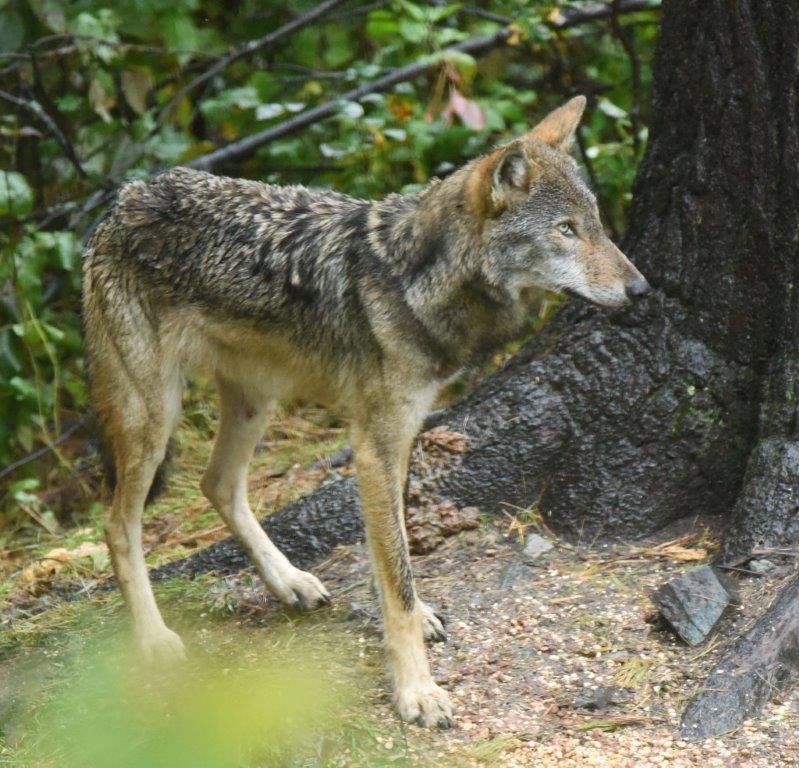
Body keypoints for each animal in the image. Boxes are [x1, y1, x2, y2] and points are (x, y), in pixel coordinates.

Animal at [82, 96, 648, 728]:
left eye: (595, 225)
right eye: (565, 230)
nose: (643, 289)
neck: (417, 284)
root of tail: (125, 199)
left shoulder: (402, 438)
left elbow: (393, 560)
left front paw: (414, 622)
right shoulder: (374, 445)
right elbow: (396, 576)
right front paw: (416, 690)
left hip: (257, 399)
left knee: (217, 484)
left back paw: (289, 582)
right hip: (154, 417)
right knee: (118, 523)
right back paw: (155, 639)